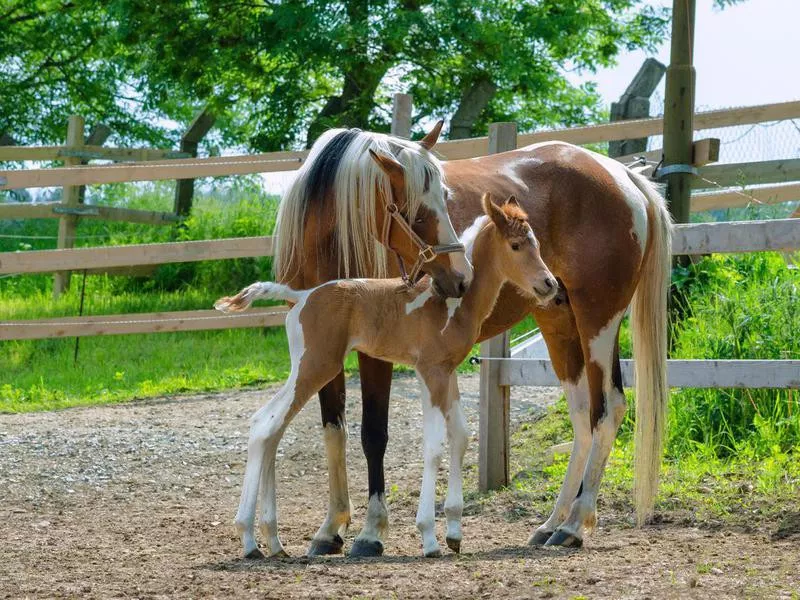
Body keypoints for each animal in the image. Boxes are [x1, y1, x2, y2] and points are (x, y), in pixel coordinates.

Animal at [216, 192, 560, 556]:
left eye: (537, 243)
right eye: (515, 245)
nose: (549, 284)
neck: (451, 303)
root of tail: (302, 296)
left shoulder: (447, 372)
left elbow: (461, 435)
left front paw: (454, 531)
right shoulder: (430, 372)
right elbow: (434, 445)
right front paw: (428, 537)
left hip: (307, 368)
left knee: (269, 427)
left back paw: (272, 540)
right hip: (316, 366)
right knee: (265, 426)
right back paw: (250, 539)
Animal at [282, 130, 676, 552]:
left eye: (444, 198)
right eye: (417, 212)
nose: (460, 276)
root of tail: (621, 174)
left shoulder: (375, 356)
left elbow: (373, 433)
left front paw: (372, 532)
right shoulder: (321, 348)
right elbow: (333, 429)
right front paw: (330, 529)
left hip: (597, 322)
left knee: (608, 409)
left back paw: (573, 525)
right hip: (559, 323)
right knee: (583, 416)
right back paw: (552, 523)